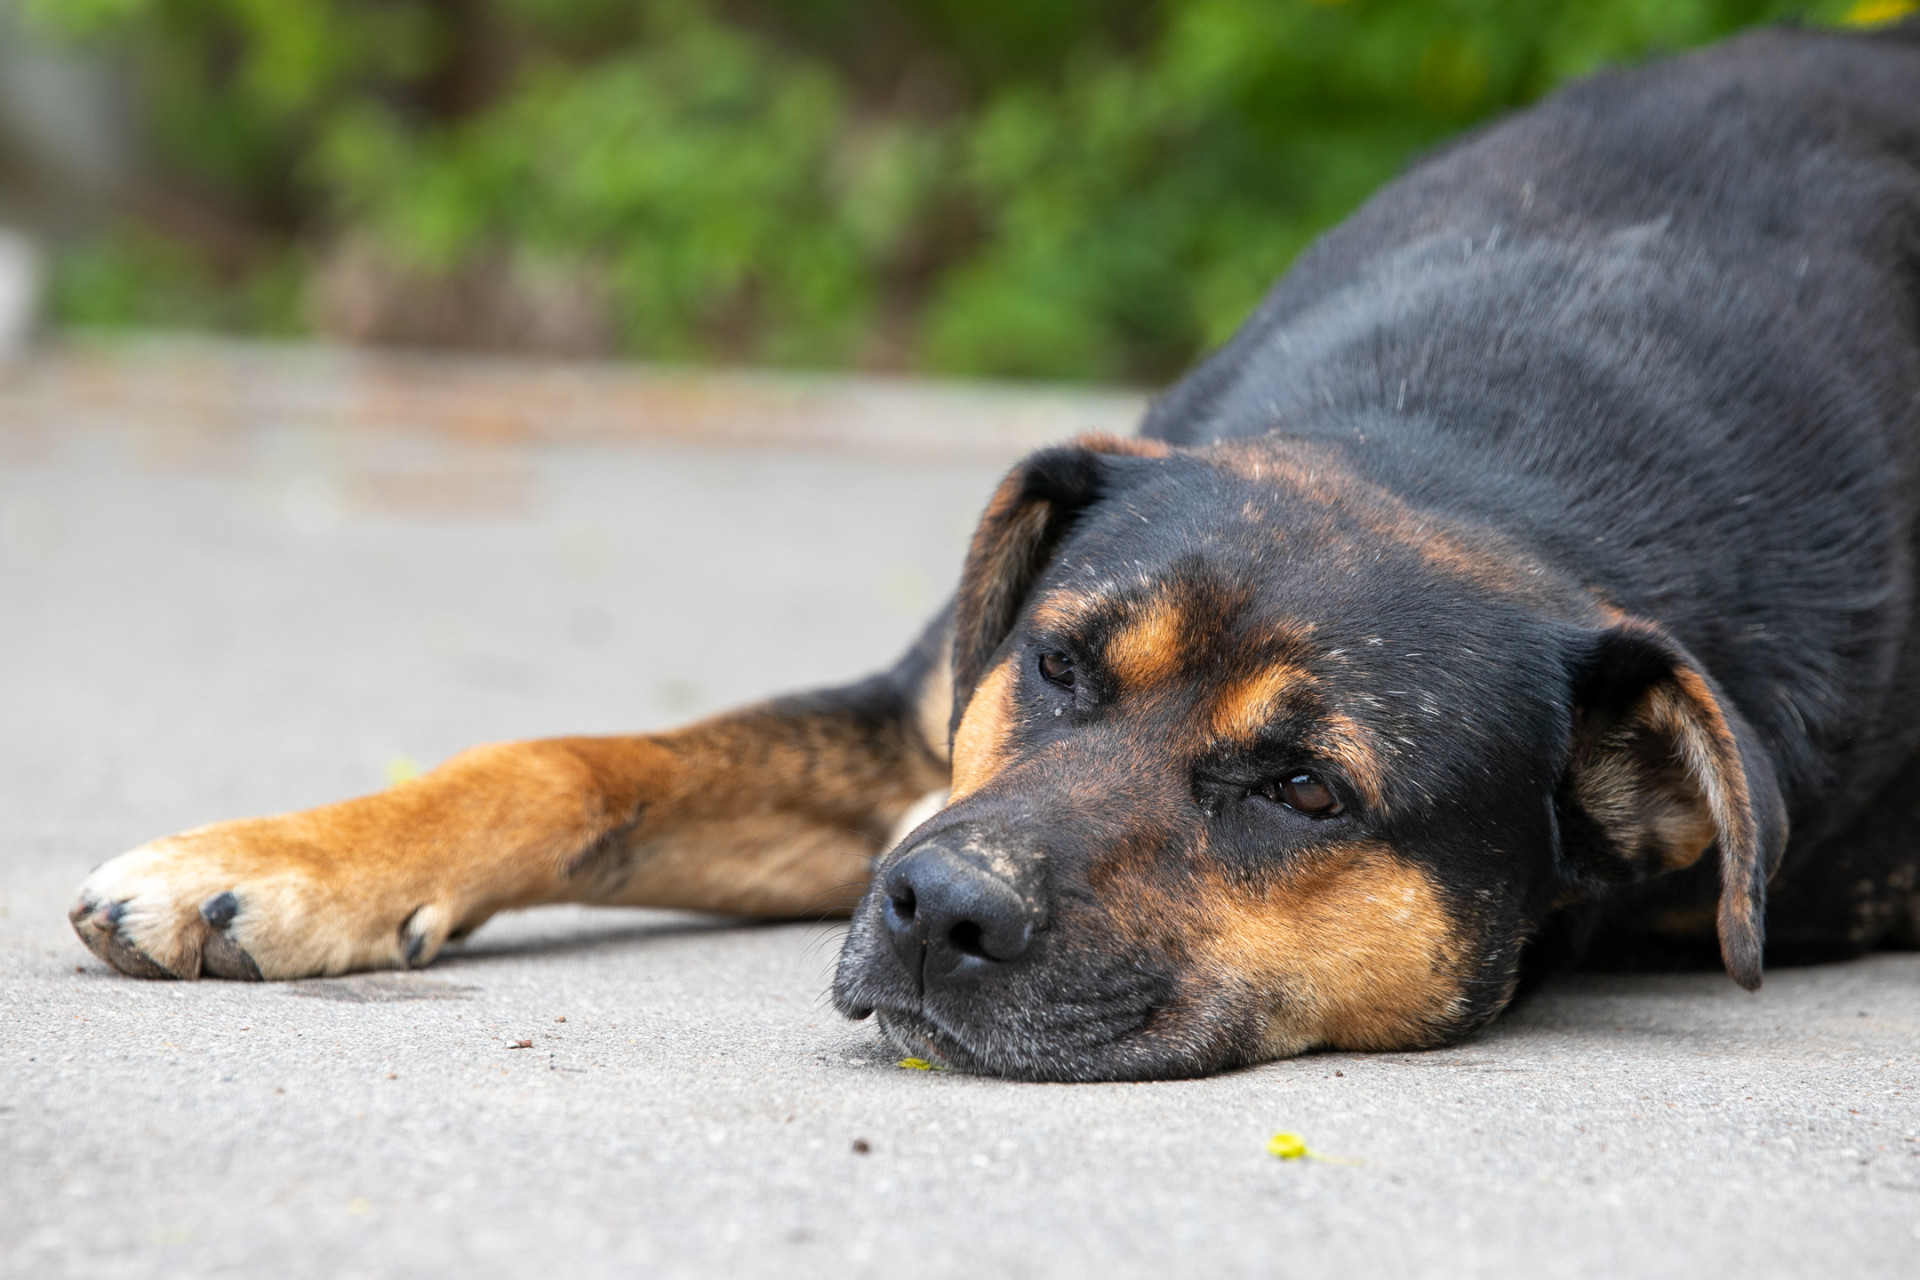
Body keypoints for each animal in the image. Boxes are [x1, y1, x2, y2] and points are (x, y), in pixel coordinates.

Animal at [67, 22, 1920, 1082]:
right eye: (1059, 664)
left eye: (1309, 792)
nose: (934, 906)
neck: (1469, 451)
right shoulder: (918, 729)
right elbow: (573, 761)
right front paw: (277, 862)